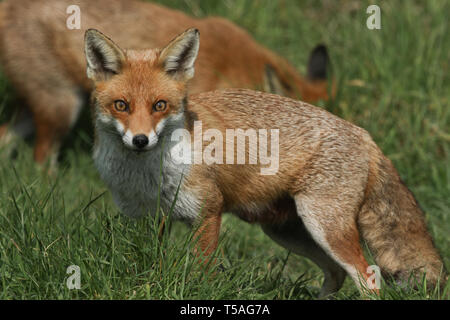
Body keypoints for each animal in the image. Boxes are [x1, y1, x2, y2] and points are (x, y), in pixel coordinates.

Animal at [85, 28, 446, 298]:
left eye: (159, 105)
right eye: (121, 105)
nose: (140, 140)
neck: (148, 176)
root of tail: (364, 134)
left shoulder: (207, 212)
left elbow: (200, 272)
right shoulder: (149, 220)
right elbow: (152, 265)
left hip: (325, 227)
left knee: (368, 278)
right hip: (288, 231)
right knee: (336, 274)